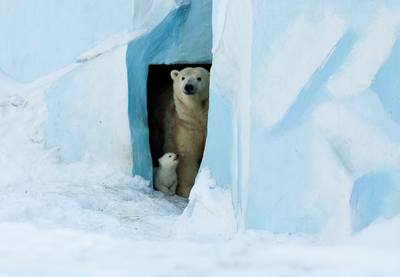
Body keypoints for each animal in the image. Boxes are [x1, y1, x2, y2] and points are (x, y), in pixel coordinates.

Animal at [164, 66, 211, 196]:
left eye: (199, 78)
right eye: (183, 77)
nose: (188, 87)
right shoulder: (185, 125)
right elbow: (188, 154)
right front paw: (187, 189)